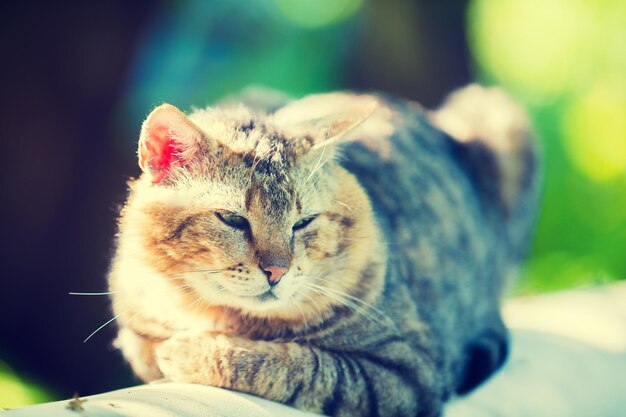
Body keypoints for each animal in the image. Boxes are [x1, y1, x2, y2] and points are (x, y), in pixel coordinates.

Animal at [107, 83, 536, 414]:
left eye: (303, 222)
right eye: (233, 220)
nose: (276, 270)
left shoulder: (407, 374)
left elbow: (300, 366)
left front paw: (193, 353)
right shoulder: (135, 325)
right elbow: (145, 348)